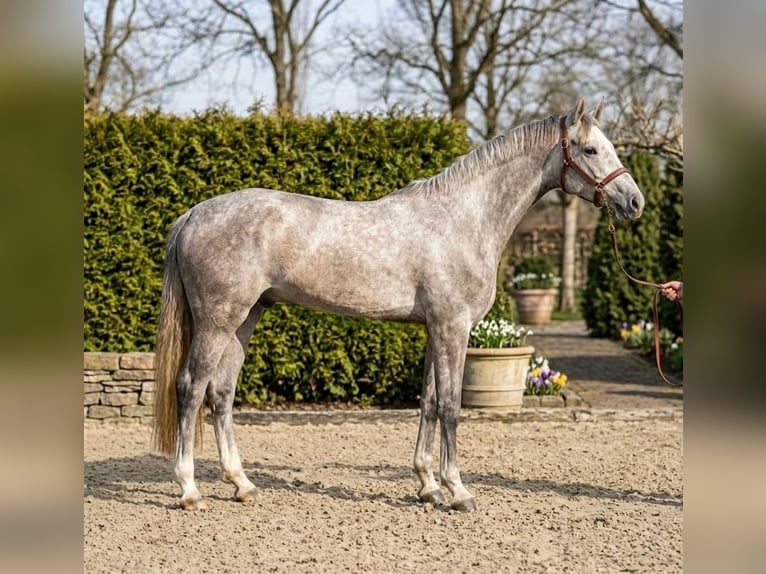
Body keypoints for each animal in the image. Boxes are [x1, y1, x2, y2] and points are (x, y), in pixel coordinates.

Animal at [152, 98, 644, 512]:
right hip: (218, 322)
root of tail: (193, 214)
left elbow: (427, 401)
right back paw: (189, 490)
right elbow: (450, 405)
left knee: (221, 393)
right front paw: (457, 491)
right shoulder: (452, 326)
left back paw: (242, 484)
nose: (634, 202)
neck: (463, 218)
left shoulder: (434, 327)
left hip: (245, 319)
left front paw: (427, 487)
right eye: (590, 149)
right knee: (191, 388)